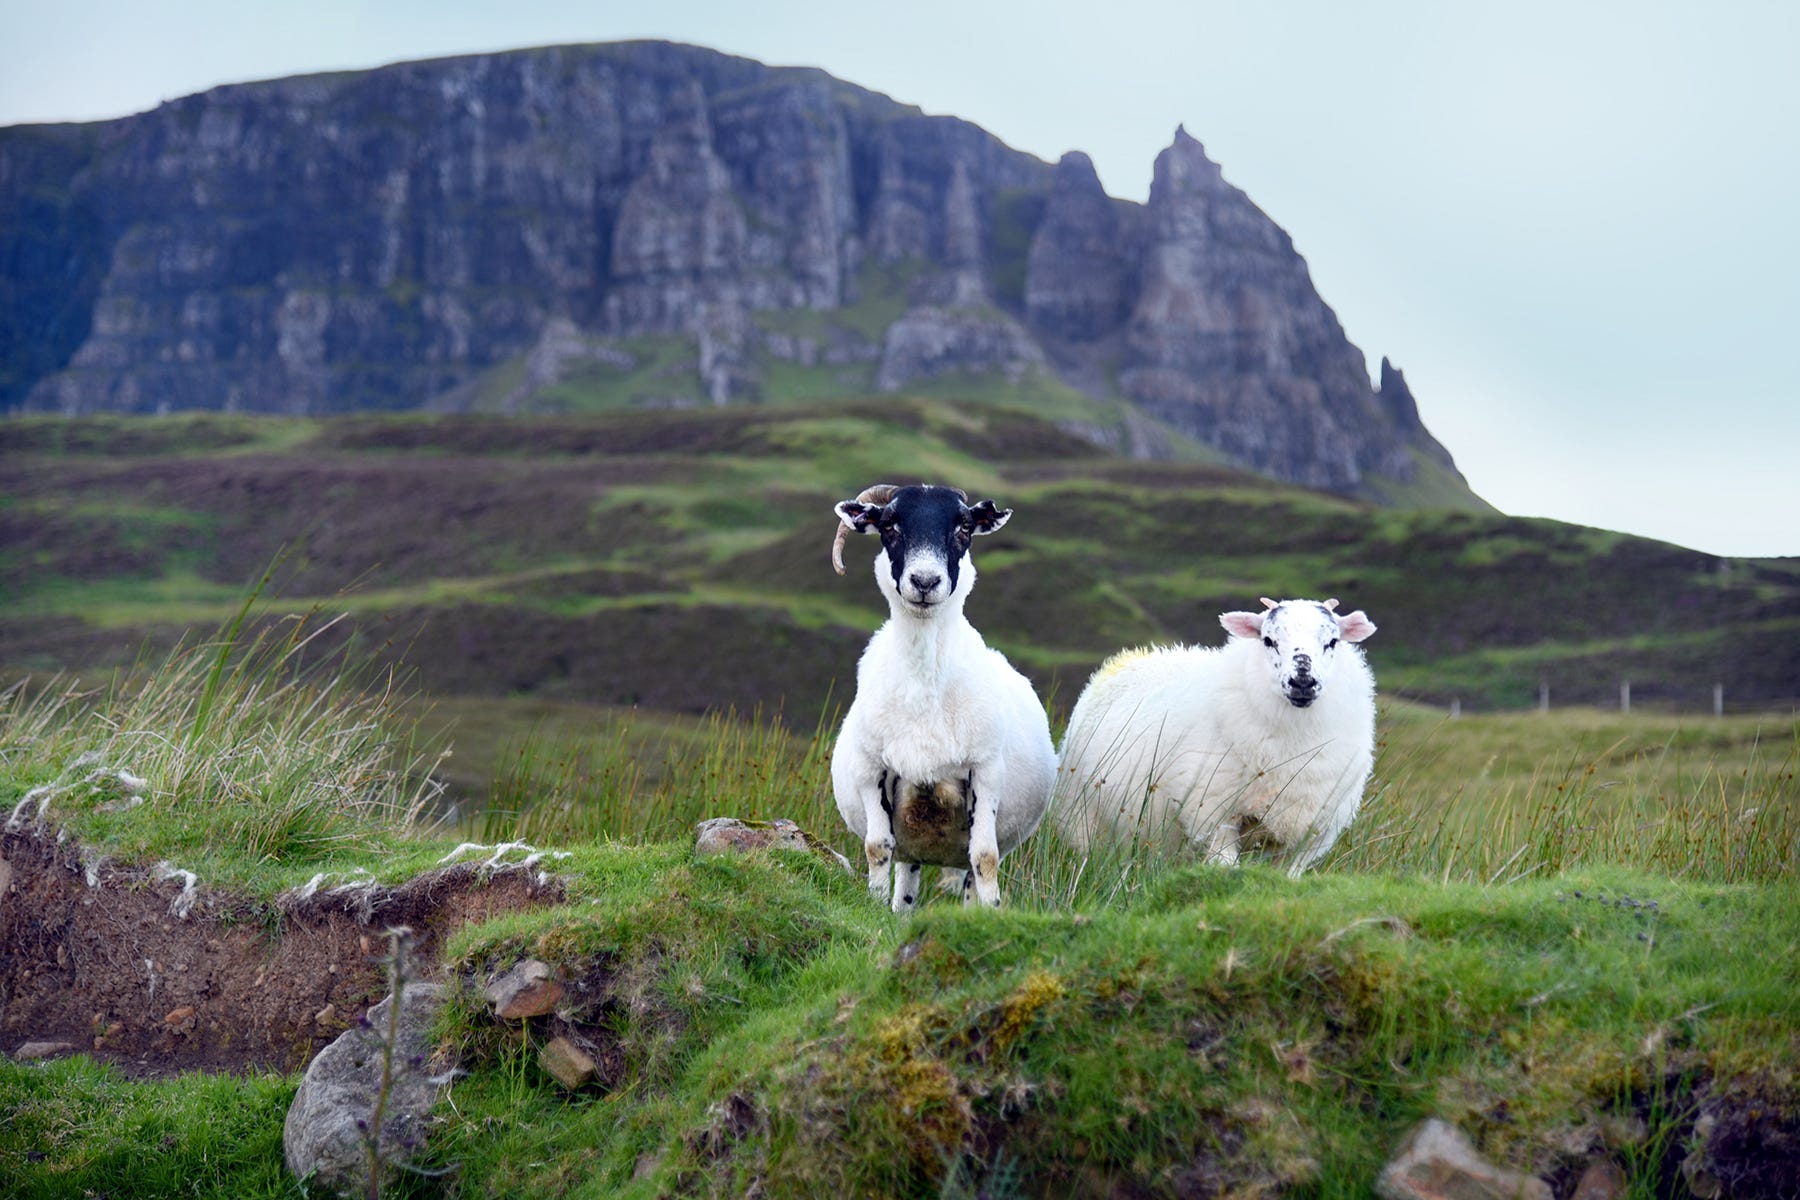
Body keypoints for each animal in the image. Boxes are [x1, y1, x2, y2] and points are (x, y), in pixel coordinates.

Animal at [824, 482, 1058, 906]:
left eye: (964, 528)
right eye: (889, 526)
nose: (924, 581)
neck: (924, 693)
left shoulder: (986, 772)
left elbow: (985, 858)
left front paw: (992, 910)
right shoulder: (870, 770)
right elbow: (876, 847)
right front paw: (874, 907)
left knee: (968, 870)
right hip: (912, 839)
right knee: (905, 868)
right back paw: (899, 909)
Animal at [1051, 597, 1375, 874]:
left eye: (1332, 641)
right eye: (1268, 640)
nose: (1302, 682)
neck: (1294, 745)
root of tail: (1130, 658)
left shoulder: (1312, 834)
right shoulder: (1215, 814)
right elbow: (1224, 868)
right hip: (1082, 816)